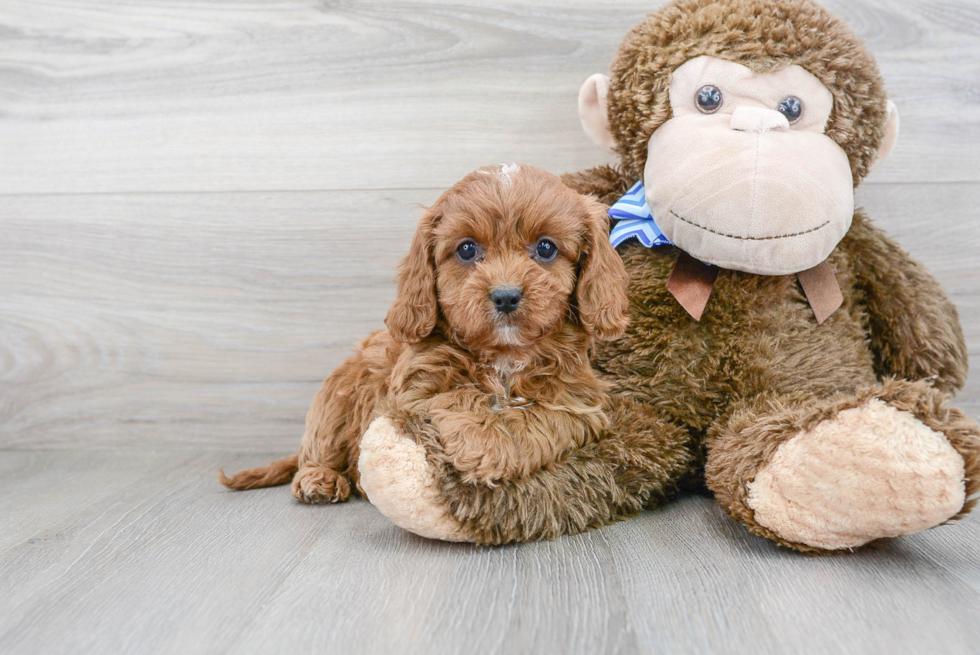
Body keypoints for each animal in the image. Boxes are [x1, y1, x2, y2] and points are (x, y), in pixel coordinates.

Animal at [221, 164, 628, 502]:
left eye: (546, 247)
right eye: (467, 249)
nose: (506, 295)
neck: (503, 353)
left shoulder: (578, 402)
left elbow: (543, 417)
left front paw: (493, 447)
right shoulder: (412, 392)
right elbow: (456, 396)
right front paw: (483, 441)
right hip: (335, 399)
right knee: (319, 448)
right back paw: (318, 479)